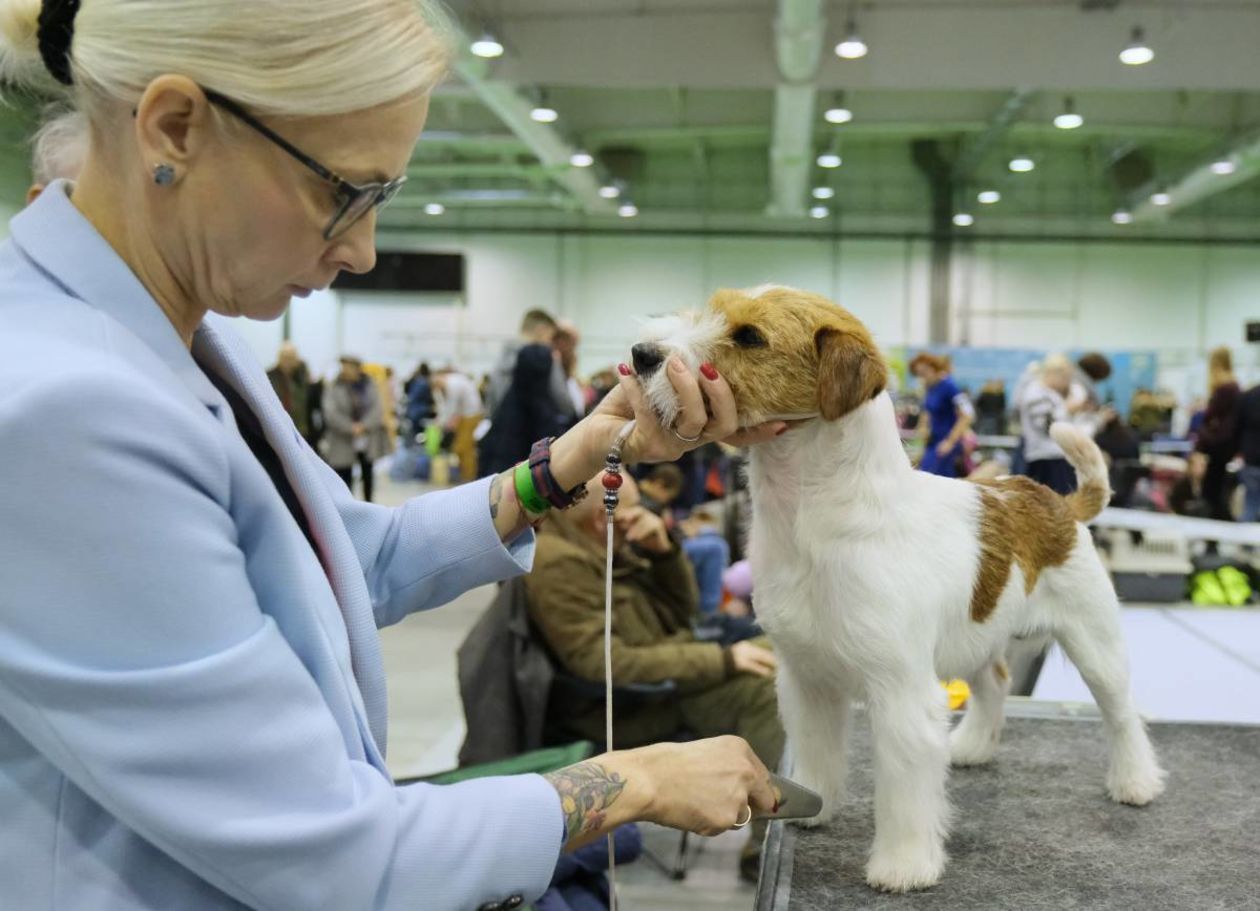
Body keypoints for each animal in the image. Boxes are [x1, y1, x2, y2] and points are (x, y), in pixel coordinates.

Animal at [635, 288, 1164, 892]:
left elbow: (906, 794)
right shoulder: (807, 677)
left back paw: (1136, 782)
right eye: (711, 309)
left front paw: (904, 866)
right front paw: (816, 806)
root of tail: (1059, 504)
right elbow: (817, 752)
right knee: (996, 682)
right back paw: (972, 747)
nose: (642, 355)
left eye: (749, 337)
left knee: (1122, 712)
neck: (811, 517)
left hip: (1094, 641)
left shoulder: (901, 692)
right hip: (979, 635)